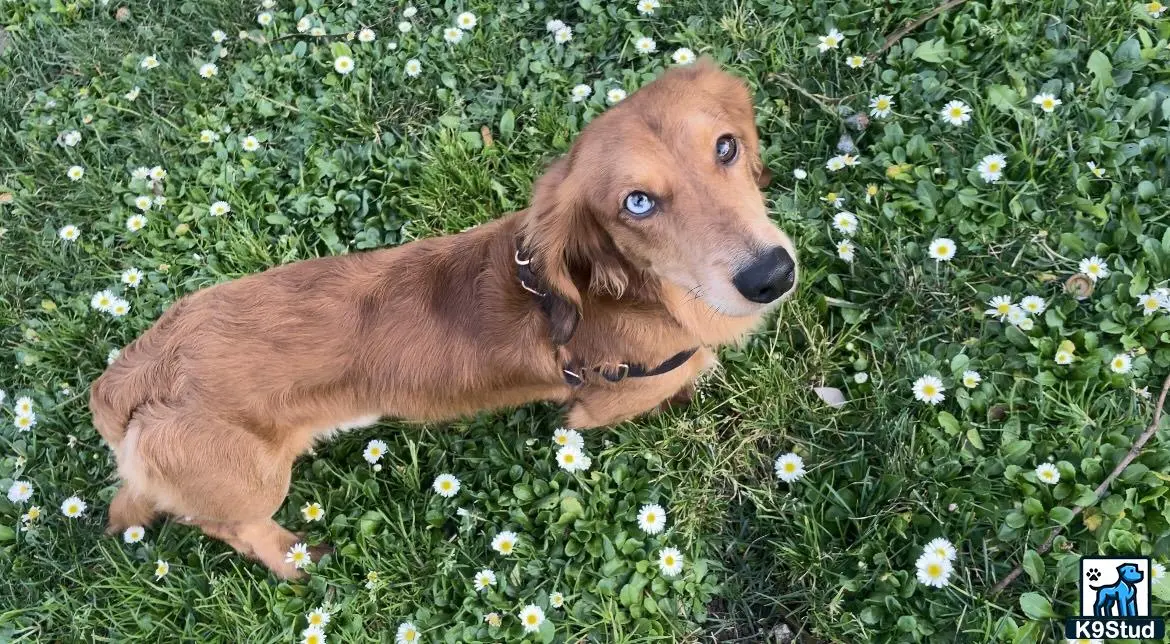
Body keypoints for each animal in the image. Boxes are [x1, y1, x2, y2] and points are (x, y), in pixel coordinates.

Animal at [88, 57, 795, 578]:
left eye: (726, 147)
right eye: (638, 203)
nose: (772, 276)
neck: (632, 291)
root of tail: (135, 374)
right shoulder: (604, 403)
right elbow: (678, 376)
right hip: (256, 485)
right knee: (224, 524)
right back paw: (295, 559)